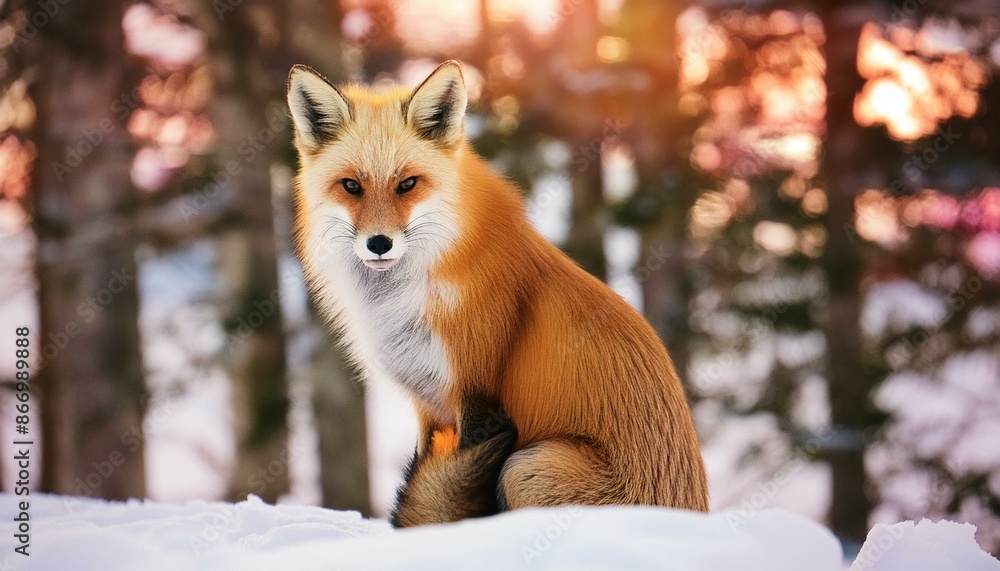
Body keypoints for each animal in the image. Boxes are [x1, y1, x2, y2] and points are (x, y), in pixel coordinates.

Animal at [286, 61, 709, 527]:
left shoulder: (477, 392)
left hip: (527, 466)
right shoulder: (428, 406)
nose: (379, 243)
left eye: (408, 184)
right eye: (351, 186)